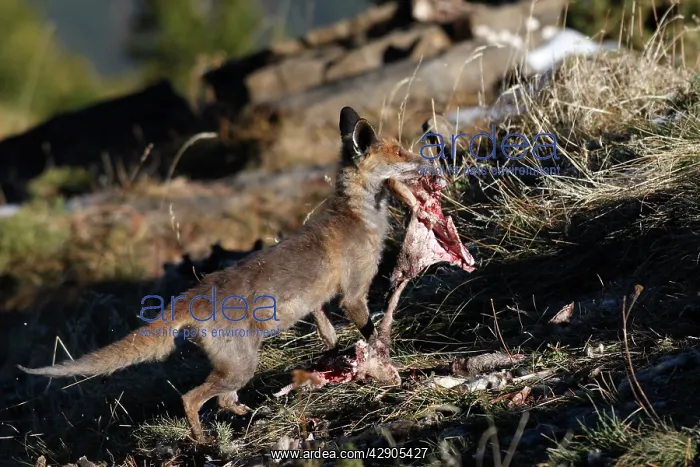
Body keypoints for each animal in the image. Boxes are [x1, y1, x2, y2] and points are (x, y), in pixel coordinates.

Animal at [18, 106, 433, 443]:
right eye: (400, 153)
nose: (430, 161)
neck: (358, 217)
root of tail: (191, 295)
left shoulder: (320, 302)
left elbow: (328, 334)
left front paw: (336, 359)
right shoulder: (353, 294)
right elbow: (372, 333)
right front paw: (386, 357)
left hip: (238, 365)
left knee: (223, 401)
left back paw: (254, 413)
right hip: (241, 365)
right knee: (193, 399)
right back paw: (203, 440)